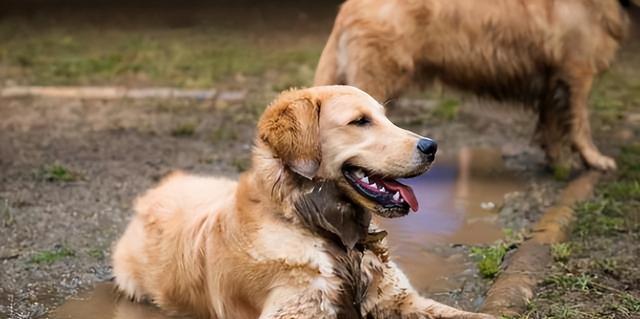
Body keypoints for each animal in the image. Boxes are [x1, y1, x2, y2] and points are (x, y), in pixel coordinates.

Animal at [316, 0, 632, 171]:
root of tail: (347, 9)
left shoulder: (552, 76)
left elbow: (552, 123)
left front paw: (558, 164)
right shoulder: (577, 71)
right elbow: (580, 123)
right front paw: (594, 160)